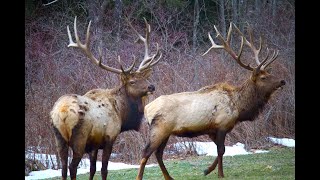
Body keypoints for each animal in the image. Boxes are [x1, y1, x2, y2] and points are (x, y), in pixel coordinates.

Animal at [50, 16, 162, 180]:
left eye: (144, 77)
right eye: (132, 81)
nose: (151, 87)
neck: (122, 113)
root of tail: (62, 112)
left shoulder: (94, 144)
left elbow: (92, 168)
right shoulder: (109, 137)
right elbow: (103, 169)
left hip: (59, 138)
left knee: (63, 167)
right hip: (79, 138)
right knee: (72, 167)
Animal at [135, 22, 284, 180]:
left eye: (269, 73)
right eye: (263, 77)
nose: (282, 81)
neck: (239, 107)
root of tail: (147, 108)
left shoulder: (211, 130)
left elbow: (221, 150)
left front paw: (207, 170)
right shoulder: (222, 125)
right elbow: (221, 150)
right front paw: (220, 174)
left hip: (166, 132)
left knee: (158, 153)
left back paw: (169, 177)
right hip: (160, 128)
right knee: (146, 152)